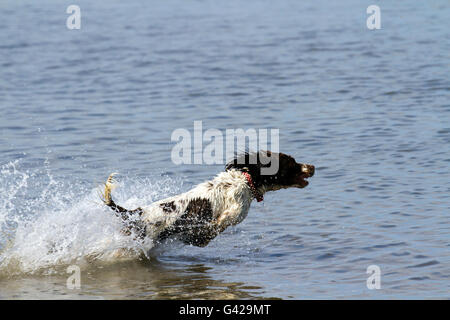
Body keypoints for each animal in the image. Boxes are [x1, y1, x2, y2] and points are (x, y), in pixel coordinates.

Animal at [100, 152, 314, 248]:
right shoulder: (229, 215)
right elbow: (213, 228)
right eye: (292, 163)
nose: (312, 166)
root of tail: (135, 212)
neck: (245, 181)